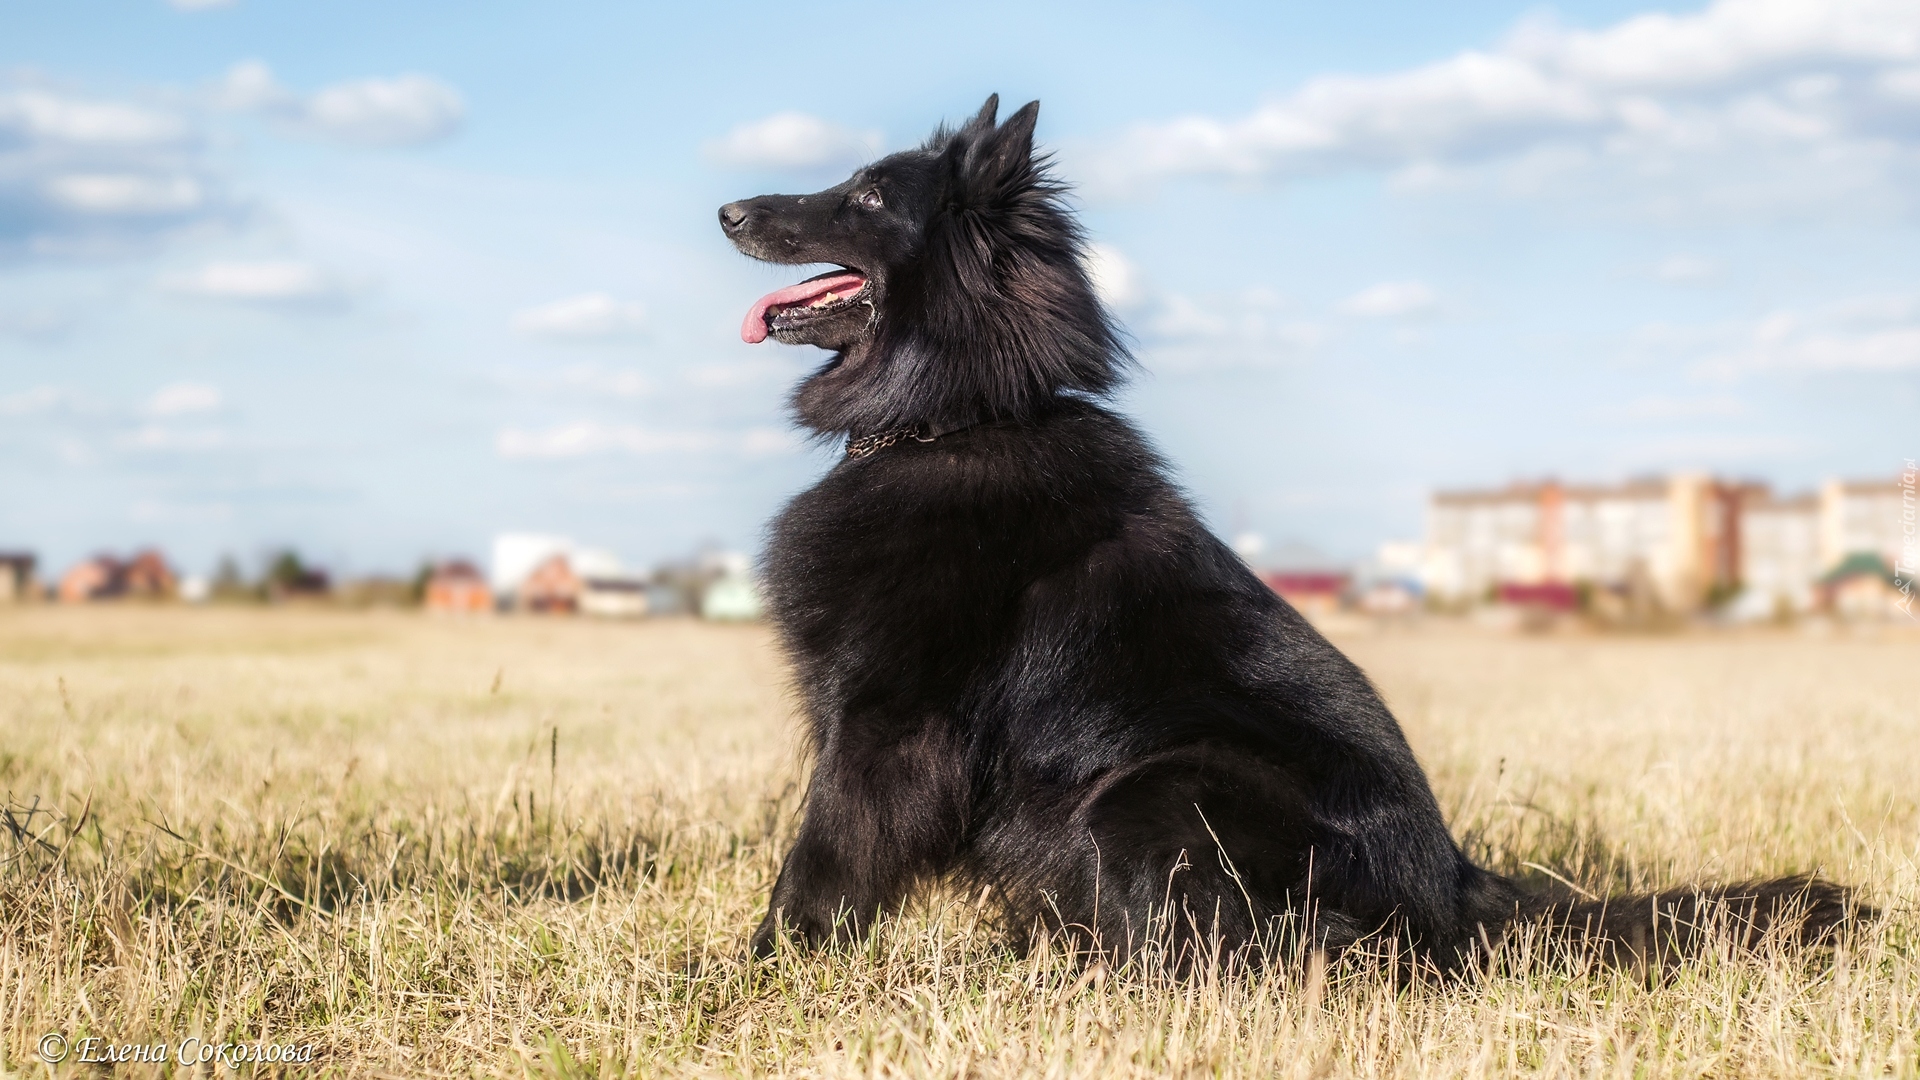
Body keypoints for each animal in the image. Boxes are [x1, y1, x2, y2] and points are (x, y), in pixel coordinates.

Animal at [718, 96, 1843, 960]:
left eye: (868, 197)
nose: (727, 208)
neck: (957, 421)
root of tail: (1459, 893)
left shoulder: (886, 727)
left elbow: (821, 864)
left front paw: (762, 968)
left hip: (1150, 787)